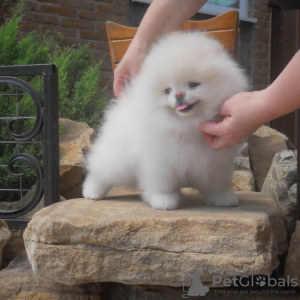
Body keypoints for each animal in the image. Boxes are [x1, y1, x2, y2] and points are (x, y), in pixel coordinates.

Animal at [82, 29, 248, 209]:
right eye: (167, 90)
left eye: (193, 84)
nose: (179, 95)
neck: (186, 124)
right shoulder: (162, 161)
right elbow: (163, 184)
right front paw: (163, 201)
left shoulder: (215, 162)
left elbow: (217, 183)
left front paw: (223, 198)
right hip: (117, 160)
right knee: (100, 173)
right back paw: (92, 192)